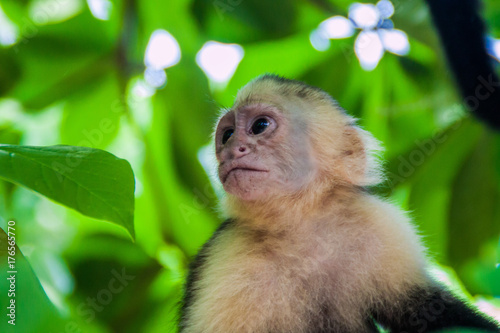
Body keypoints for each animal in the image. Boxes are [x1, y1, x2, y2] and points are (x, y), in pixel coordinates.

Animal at [178, 75, 498, 332]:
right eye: (228, 135)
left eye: (260, 126)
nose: (232, 150)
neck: (299, 226)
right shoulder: (225, 255)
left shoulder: (381, 223)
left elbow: (426, 309)